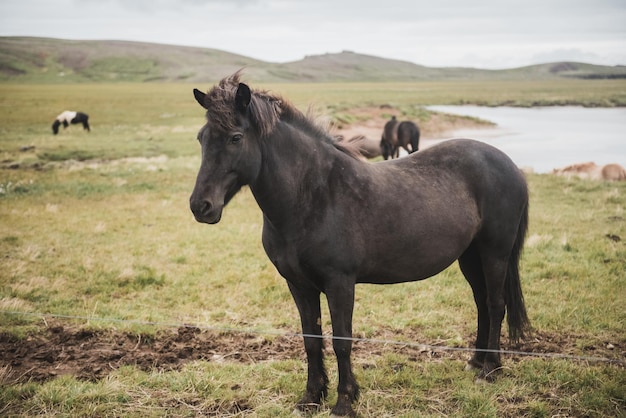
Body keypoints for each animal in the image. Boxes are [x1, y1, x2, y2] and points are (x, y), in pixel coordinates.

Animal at [189, 73, 528, 416]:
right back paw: (476, 361)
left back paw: (491, 369)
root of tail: (508, 164)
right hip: (470, 257)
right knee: (481, 303)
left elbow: (341, 340)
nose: (200, 206)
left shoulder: (340, 283)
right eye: (202, 138)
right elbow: (311, 339)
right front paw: (311, 397)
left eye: (235, 138)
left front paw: (344, 401)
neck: (312, 195)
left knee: (495, 304)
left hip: (494, 253)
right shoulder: (299, 285)